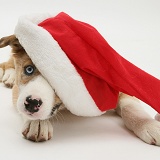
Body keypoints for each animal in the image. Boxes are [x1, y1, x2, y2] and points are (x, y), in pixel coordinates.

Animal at [0, 35, 160, 145]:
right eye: (29, 69)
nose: (32, 103)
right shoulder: (18, 92)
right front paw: (37, 123)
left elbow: (130, 109)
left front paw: (148, 124)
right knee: (8, 62)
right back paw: (9, 75)